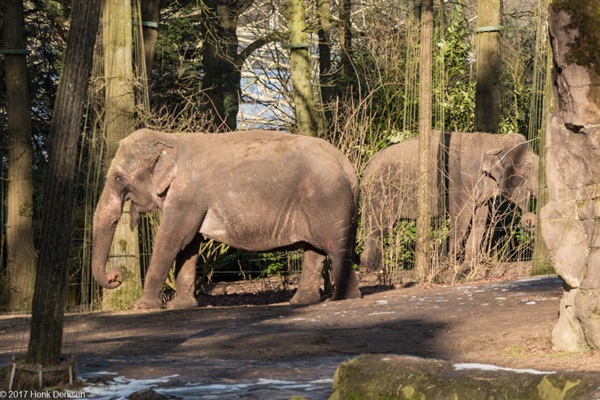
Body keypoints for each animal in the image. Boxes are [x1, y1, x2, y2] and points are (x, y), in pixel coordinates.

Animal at [90, 129, 360, 310]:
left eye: (117, 178)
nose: (116, 277)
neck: (172, 139)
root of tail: (346, 164)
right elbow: (189, 245)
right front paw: (182, 306)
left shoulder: (188, 194)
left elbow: (174, 239)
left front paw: (142, 307)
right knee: (315, 251)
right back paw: (301, 302)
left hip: (326, 199)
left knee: (335, 247)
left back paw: (342, 299)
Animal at [360, 130, 540, 272]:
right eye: (528, 167)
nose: (530, 221)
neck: (493, 140)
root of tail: (367, 167)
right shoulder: (459, 182)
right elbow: (461, 217)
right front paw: (450, 265)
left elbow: (480, 218)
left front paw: (468, 265)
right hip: (380, 192)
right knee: (379, 226)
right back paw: (372, 269)